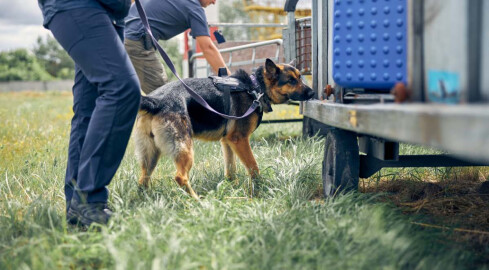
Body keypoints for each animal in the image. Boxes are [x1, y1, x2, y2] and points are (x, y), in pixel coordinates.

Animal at [133, 59, 314, 198]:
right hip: (185, 149)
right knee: (180, 177)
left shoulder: (228, 142)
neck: (255, 88)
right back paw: (197, 201)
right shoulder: (240, 140)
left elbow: (230, 170)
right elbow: (253, 167)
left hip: (151, 154)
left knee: (143, 179)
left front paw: (231, 189)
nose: (312, 93)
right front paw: (260, 188)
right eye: (291, 81)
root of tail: (156, 101)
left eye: (300, 78)